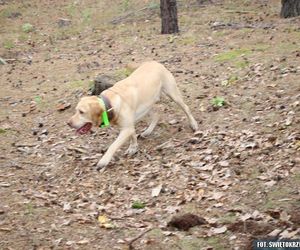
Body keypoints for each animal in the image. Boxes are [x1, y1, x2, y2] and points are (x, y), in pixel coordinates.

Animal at [69, 61, 198, 169]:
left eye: (81, 112)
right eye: (76, 110)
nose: (68, 123)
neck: (109, 103)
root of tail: (155, 62)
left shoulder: (126, 128)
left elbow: (113, 145)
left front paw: (104, 161)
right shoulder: (129, 126)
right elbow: (133, 136)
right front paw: (133, 147)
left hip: (172, 93)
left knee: (186, 108)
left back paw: (193, 124)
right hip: (146, 105)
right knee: (156, 115)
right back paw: (148, 131)